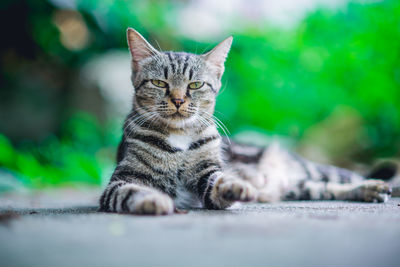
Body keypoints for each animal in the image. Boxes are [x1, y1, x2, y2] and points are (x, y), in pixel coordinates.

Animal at [98, 27, 392, 216]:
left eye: (195, 85)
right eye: (160, 83)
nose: (179, 100)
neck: (179, 137)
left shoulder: (208, 171)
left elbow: (219, 180)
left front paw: (234, 186)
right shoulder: (120, 181)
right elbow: (131, 191)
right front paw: (153, 200)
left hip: (310, 171)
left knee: (340, 179)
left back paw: (372, 186)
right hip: (300, 187)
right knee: (324, 190)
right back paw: (368, 190)